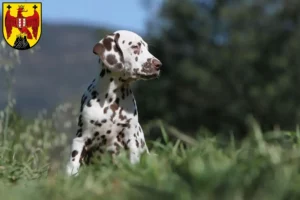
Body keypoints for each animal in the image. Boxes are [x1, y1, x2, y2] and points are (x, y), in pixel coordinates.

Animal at [65, 29, 162, 175]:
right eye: (135, 47)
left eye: (147, 48)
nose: (159, 65)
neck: (111, 100)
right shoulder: (80, 139)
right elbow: (73, 165)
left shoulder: (131, 139)